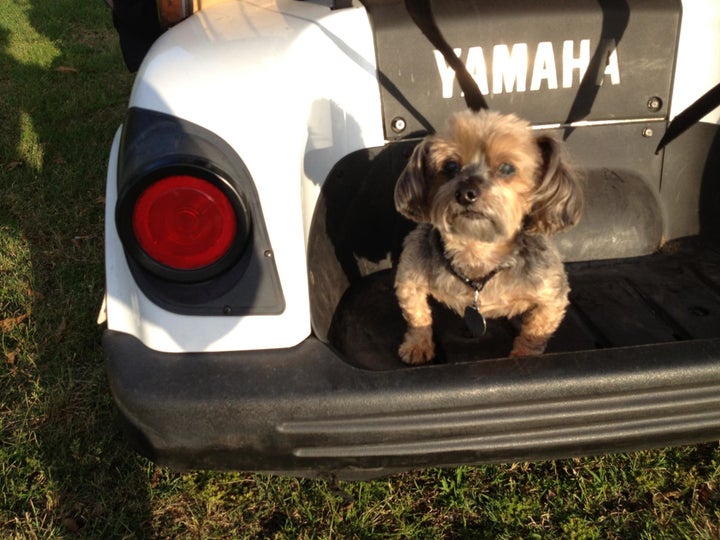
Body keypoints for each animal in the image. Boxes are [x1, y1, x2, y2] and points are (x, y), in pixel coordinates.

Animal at [390, 108, 584, 364]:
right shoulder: (409, 277)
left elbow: (535, 332)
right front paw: (417, 345)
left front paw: (524, 355)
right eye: (450, 166)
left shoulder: (553, 296)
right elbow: (417, 316)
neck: (478, 251)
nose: (466, 193)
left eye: (507, 169)